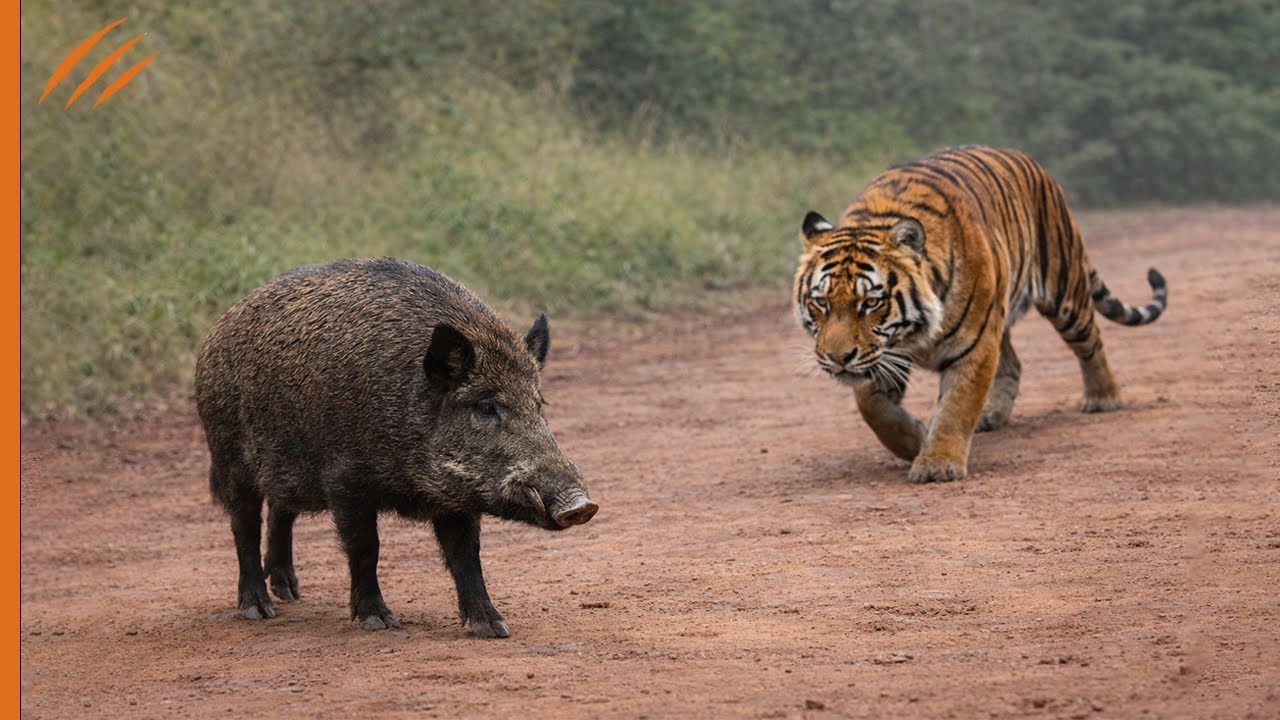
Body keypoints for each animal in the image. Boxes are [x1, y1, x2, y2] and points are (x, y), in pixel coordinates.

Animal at [793, 145, 1167, 483]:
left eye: (870, 303)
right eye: (821, 302)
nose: (837, 358)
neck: (911, 335)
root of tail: (1028, 160)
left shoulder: (972, 346)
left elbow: (956, 407)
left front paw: (938, 464)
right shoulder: (885, 356)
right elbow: (874, 409)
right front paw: (915, 439)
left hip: (1063, 292)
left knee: (1090, 340)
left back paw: (1103, 397)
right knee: (1014, 363)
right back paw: (992, 414)